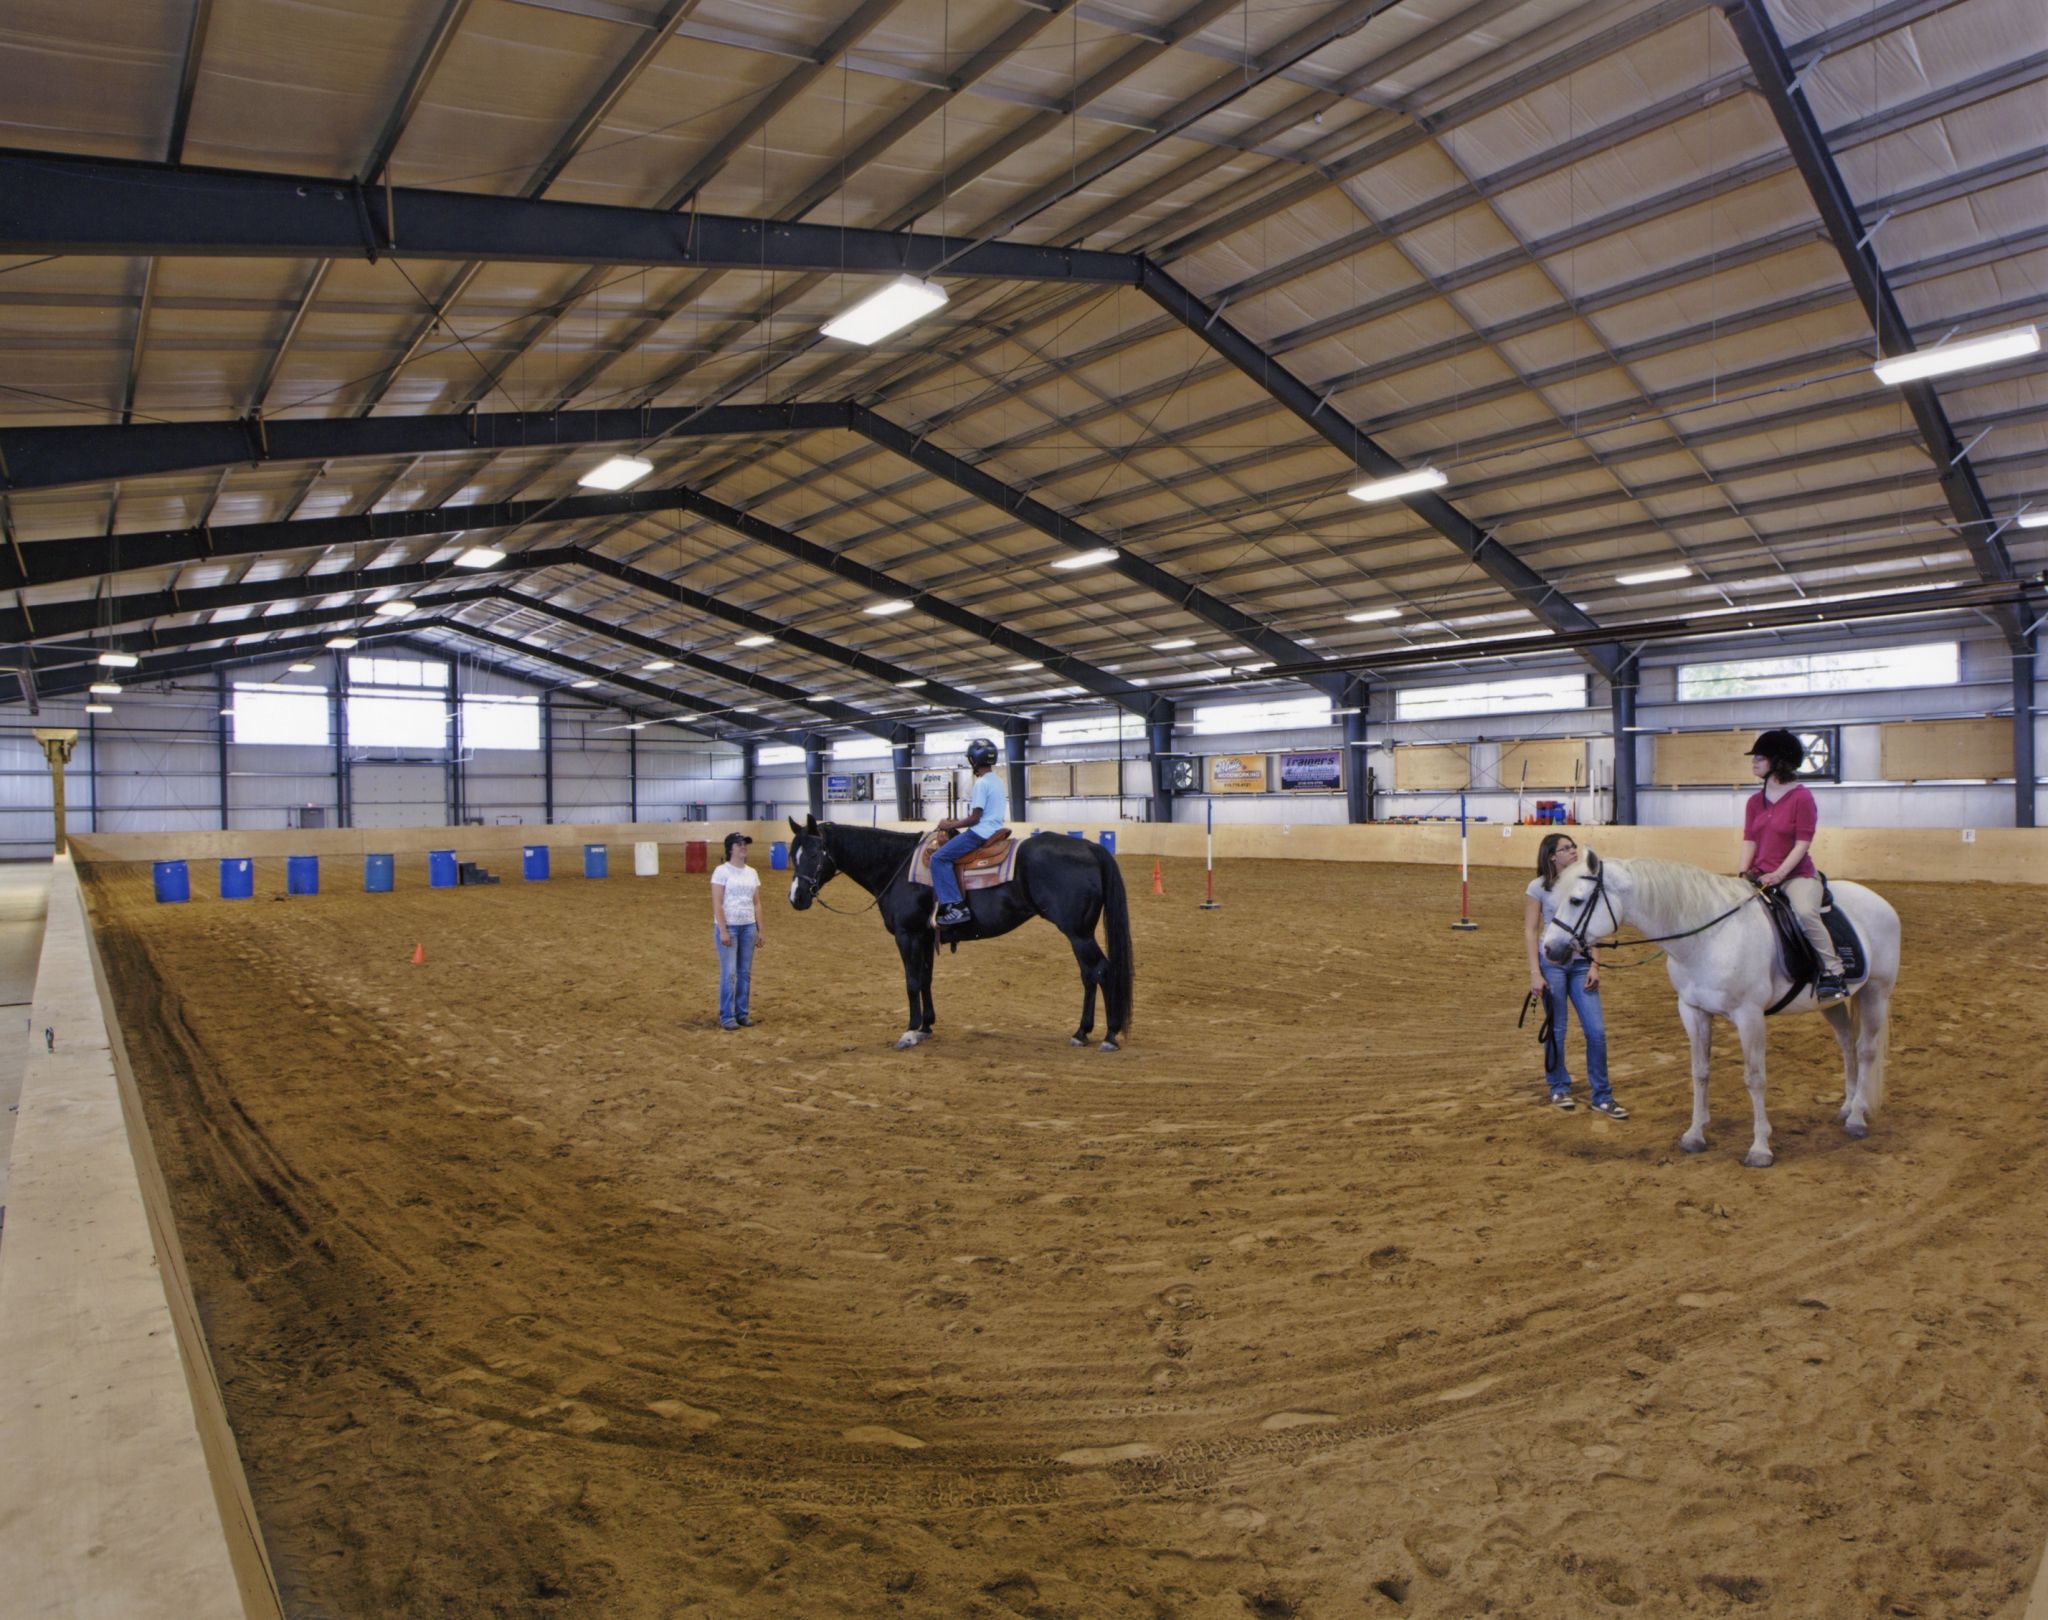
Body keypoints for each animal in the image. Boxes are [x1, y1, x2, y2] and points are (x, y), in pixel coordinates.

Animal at [782, 819, 1138, 1056]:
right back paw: (1082, 1032)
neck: (896, 867)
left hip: (1078, 933)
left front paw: (909, 1032)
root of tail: (1091, 847)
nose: (796, 898)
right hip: (1080, 933)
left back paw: (1108, 1036)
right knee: (1089, 975)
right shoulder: (926, 936)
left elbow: (911, 981)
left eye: (813, 854)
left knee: (1101, 971)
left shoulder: (908, 935)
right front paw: (926, 1026)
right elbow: (925, 979)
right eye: (791, 855)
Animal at [1540, 847, 1892, 1163]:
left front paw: (1760, 1148)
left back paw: (1857, 1118)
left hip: (1876, 992)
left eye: (1576, 900)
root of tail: (1878, 900)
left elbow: (1754, 1078)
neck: (1709, 937)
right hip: (1834, 1002)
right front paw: (1695, 1135)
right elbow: (1700, 1072)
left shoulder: (1749, 1017)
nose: (1549, 949)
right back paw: (1847, 1106)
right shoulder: (1693, 1011)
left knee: (1866, 1051)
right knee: (1847, 1045)